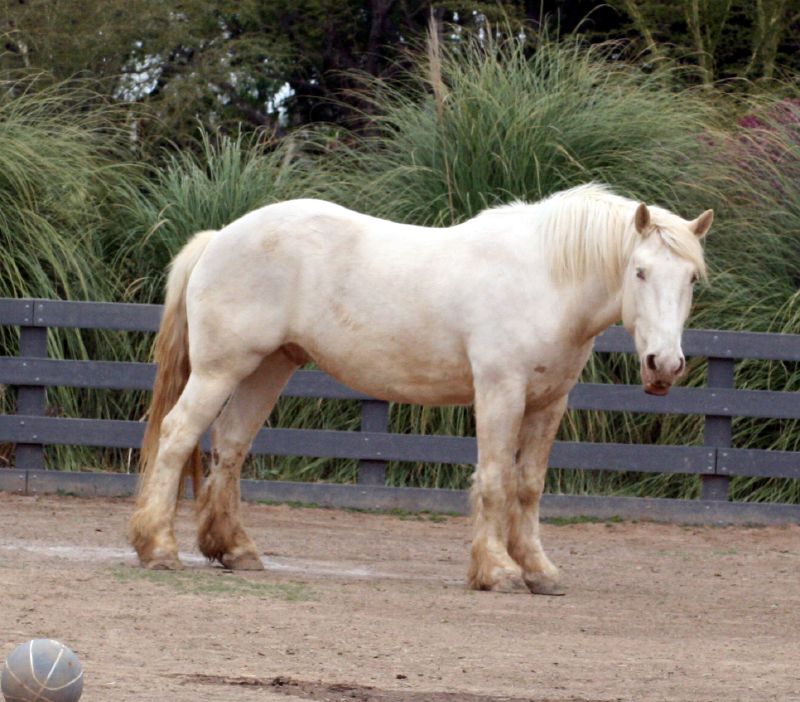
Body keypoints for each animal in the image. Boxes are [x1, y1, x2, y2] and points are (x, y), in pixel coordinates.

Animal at [130, 184, 712, 596]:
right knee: (178, 435)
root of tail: (220, 237)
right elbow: (496, 480)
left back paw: (235, 550)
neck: (545, 279)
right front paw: (497, 571)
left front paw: (539, 570)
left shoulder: (549, 403)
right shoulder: (500, 392)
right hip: (221, 370)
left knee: (230, 446)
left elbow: (528, 486)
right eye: (639, 272)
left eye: (691, 279)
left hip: (268, 368)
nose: (665, 365)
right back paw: (158, 548)